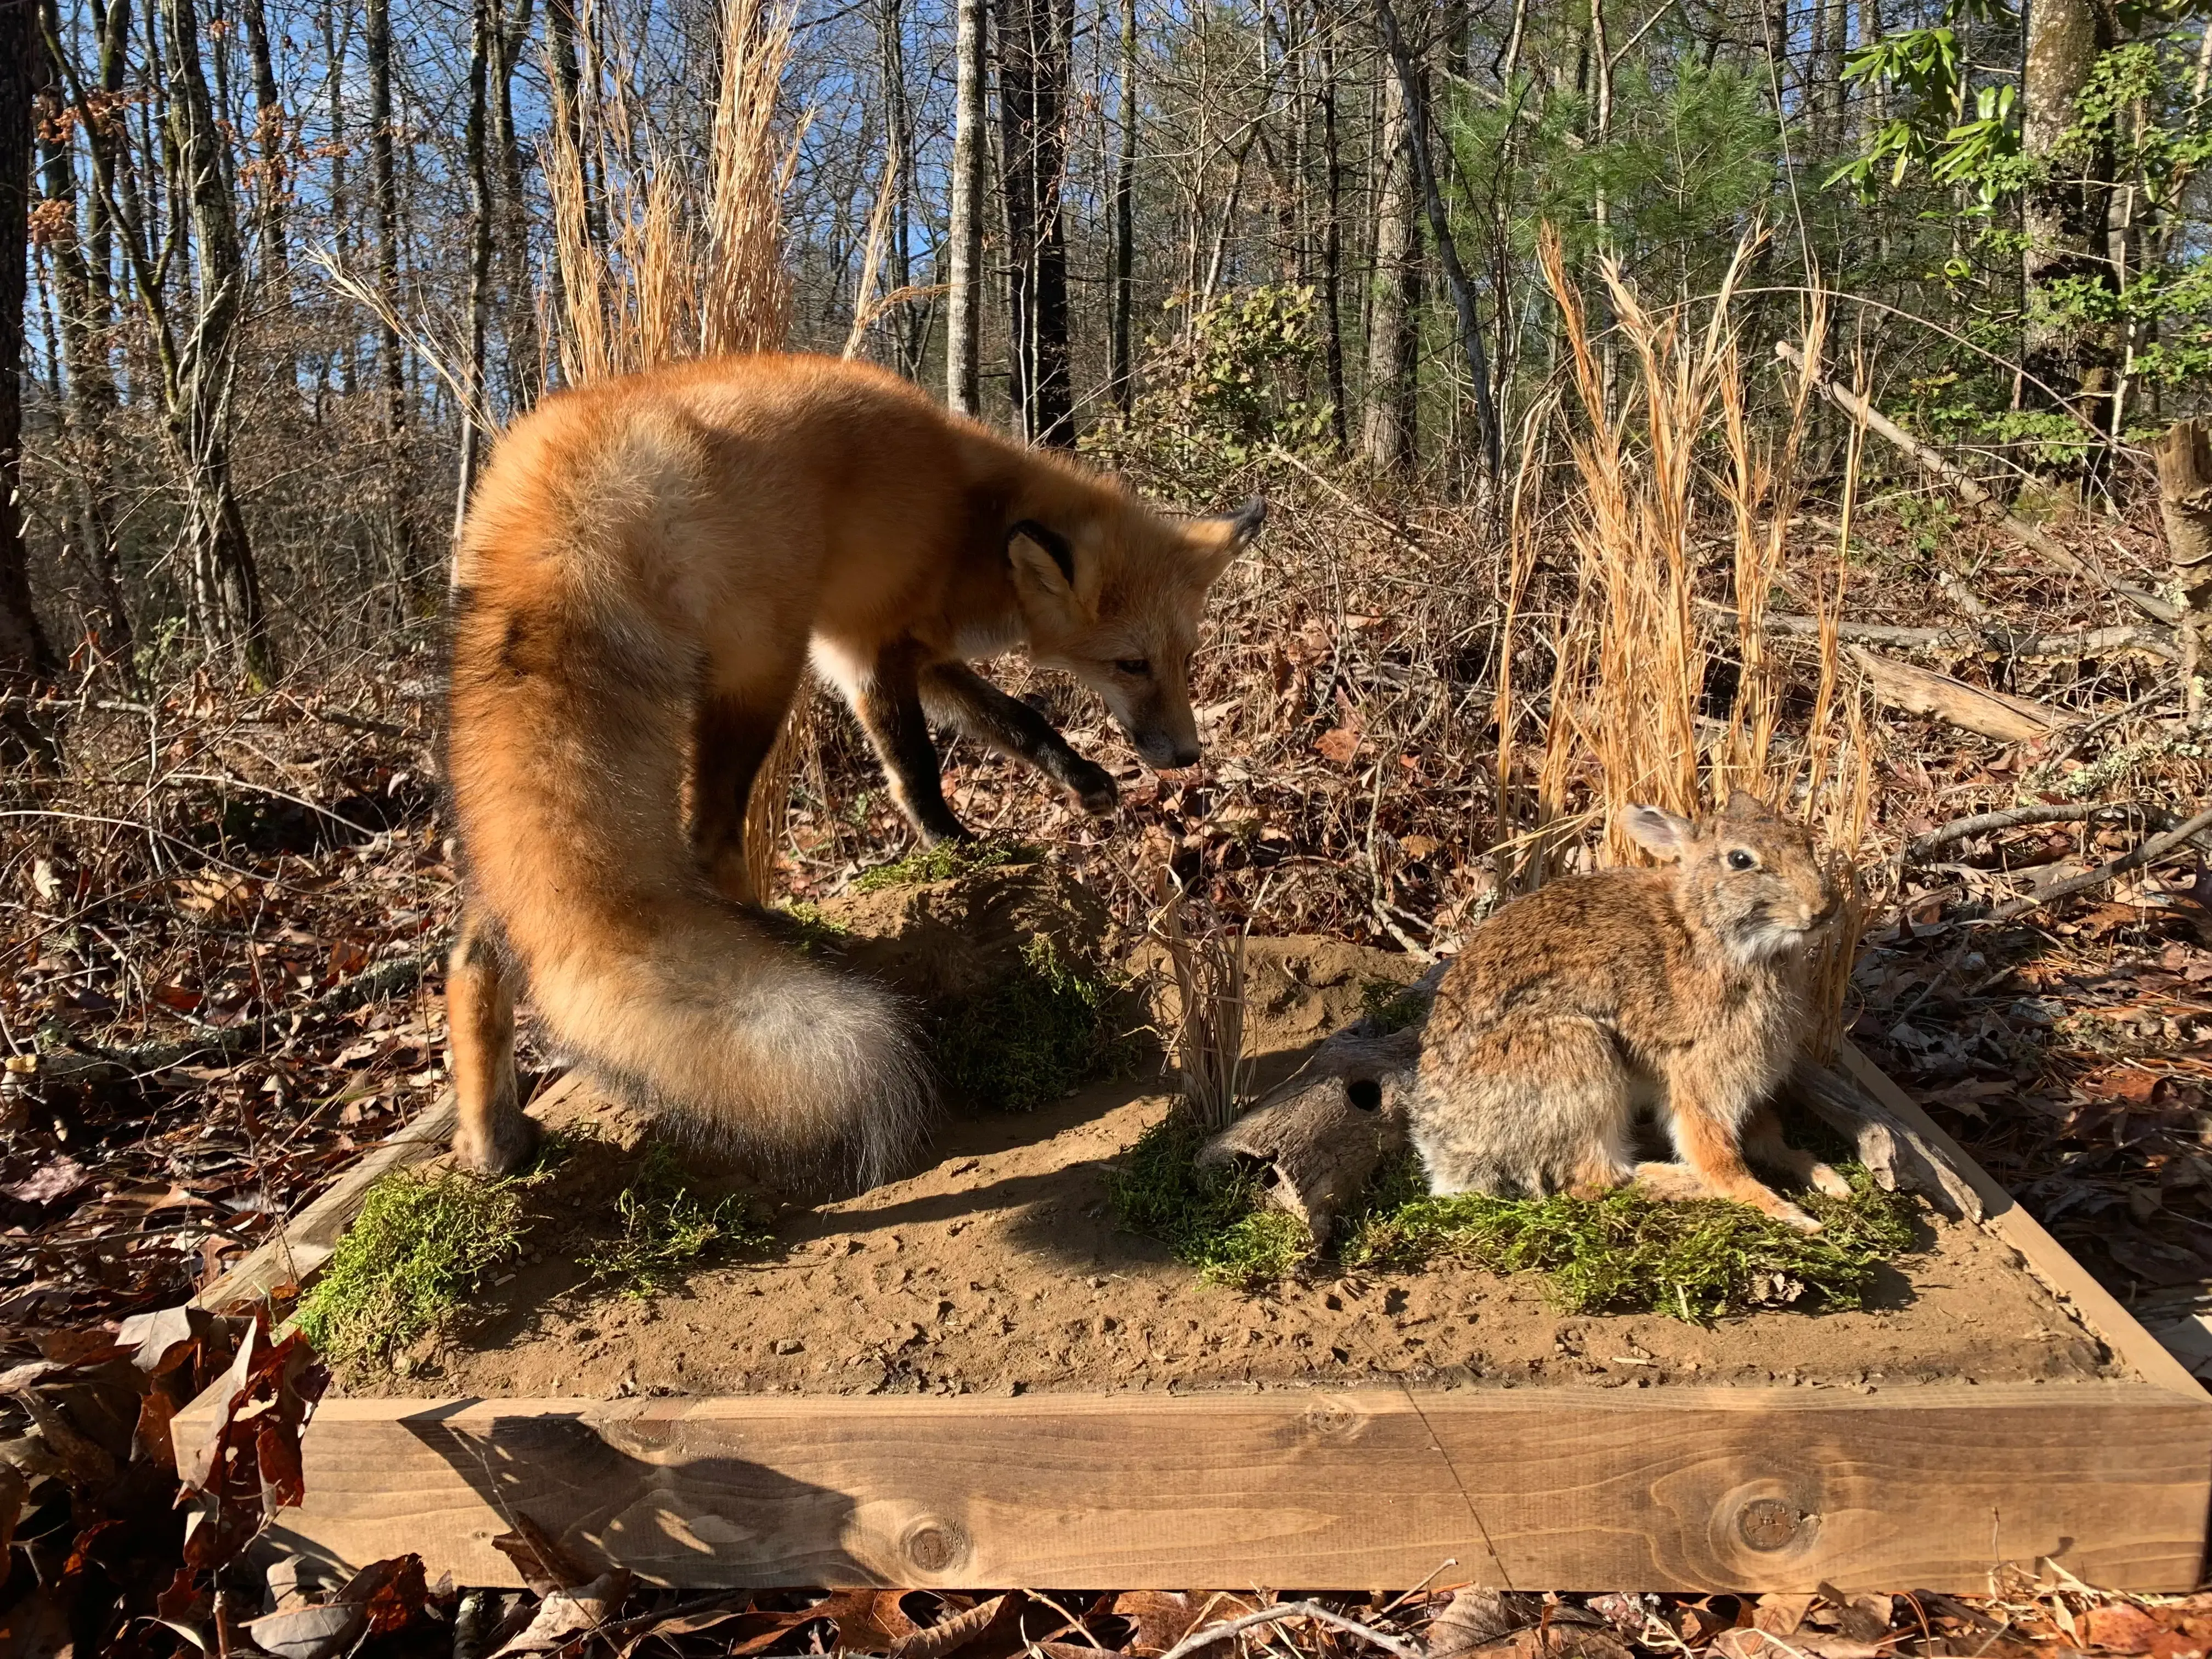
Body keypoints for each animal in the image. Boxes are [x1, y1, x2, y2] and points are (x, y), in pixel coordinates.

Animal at [442, 353, 1263, 1185]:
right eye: (1130, 665)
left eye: (1185, 659)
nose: (1187, 756)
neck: (973, 520)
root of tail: (566, 477)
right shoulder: (870, 649)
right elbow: (916, 767)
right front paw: (952, 844)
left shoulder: (922, 654)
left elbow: (1021, 720)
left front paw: (1081, 780)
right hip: (760, 673)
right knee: (707, 835)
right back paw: (774, 926)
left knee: (480, 948)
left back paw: (491, 1135)